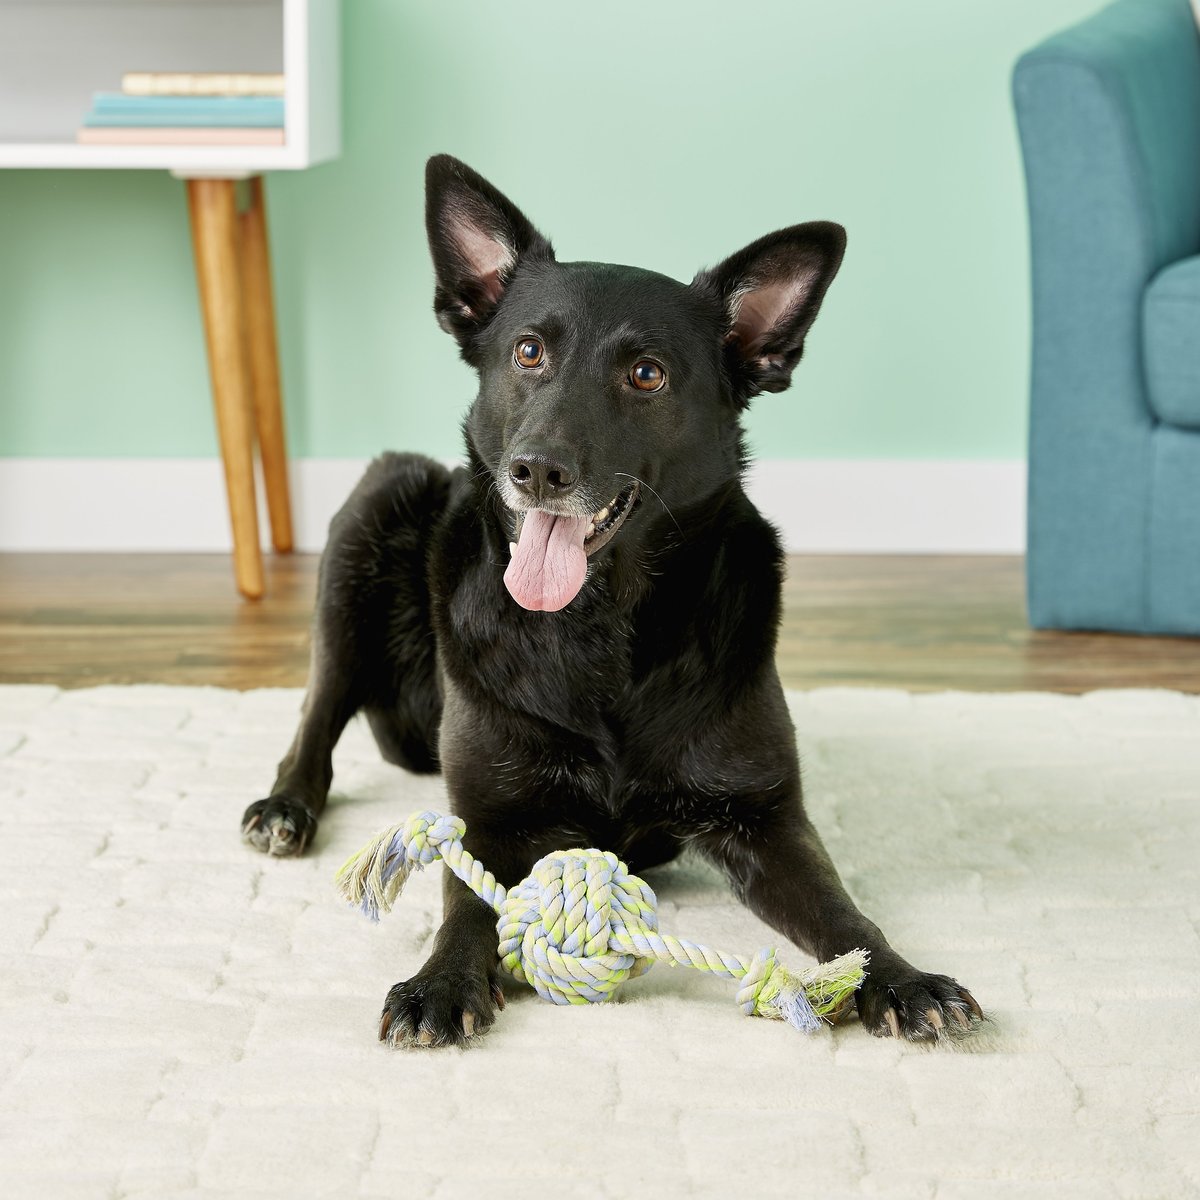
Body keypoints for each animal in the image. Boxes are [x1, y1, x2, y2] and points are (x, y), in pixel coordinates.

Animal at [238, 154, 979, 1046]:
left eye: (646, 373)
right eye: (528, 352)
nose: (536, 471)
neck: (599, 623)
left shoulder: (766, 819)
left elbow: (848, 916)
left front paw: (902, 979)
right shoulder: (488, 819)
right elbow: (464, 901)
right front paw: (441, 980)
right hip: (377, 504)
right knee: (319, 710)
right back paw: (285, 806)